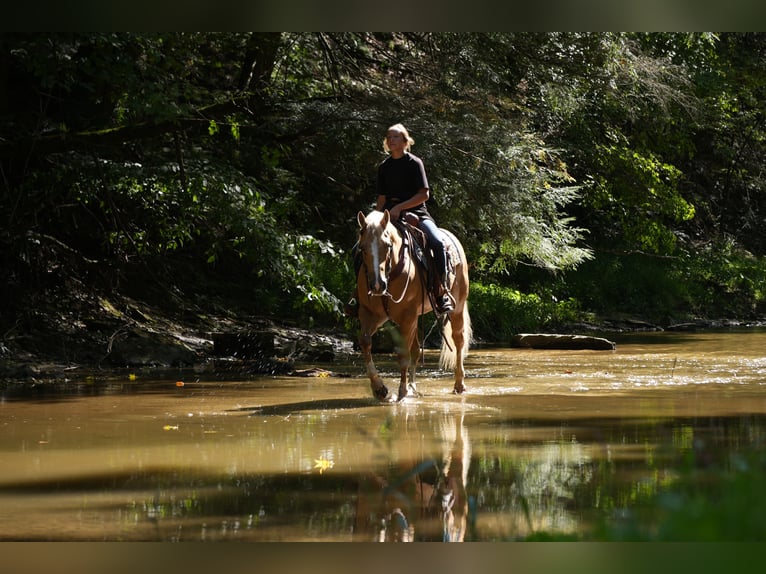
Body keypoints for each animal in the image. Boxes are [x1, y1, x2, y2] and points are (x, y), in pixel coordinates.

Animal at [355, 209, 472, 401]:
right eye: (362, 248)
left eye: (387, 246)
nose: (377, 285)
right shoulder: (371, 314)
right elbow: (365, 342)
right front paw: (379, 388)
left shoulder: (407, 317)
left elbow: (403, 353)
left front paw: (401, 393)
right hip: (415, 318)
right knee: (416, 351)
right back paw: (412, 387)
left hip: (458, 308)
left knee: (458, 341)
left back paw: (459, 385)